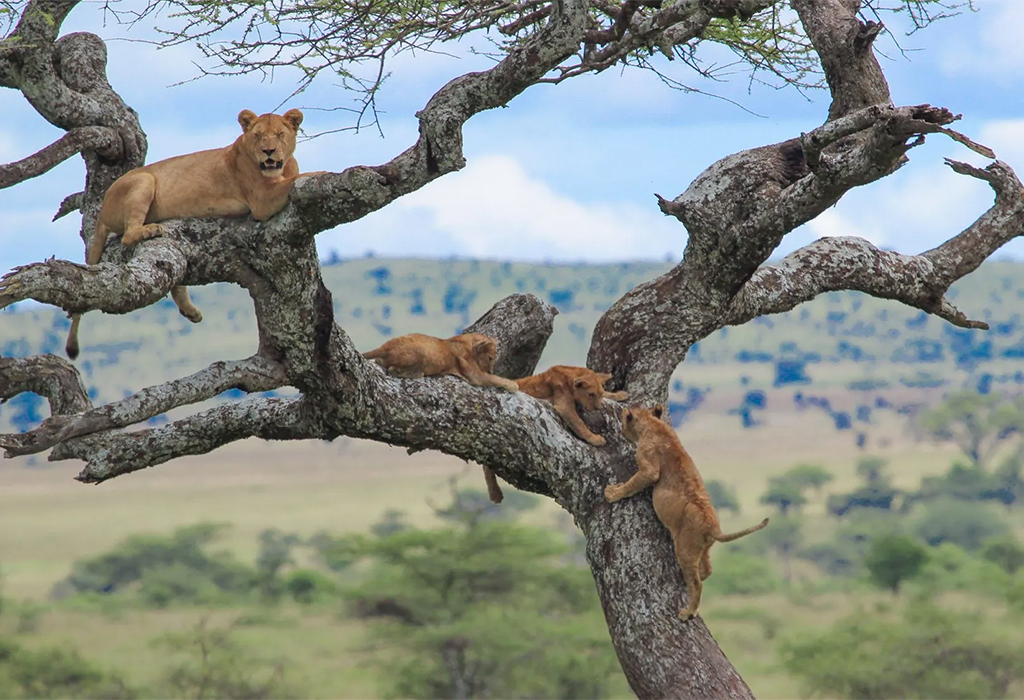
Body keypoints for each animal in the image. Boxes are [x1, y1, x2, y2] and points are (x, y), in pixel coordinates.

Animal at [66, 108, 319, 359]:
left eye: (279, 134)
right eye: (258, 136)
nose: (268, 151)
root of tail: (103, 208)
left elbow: (295, 177)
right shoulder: (261, 200)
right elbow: (296, 179)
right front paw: (322, 172)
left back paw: (191, 311)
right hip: (144, 180)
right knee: (129, 235)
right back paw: (150, 230)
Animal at [483, 366, 628, 504]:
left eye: (599, 394)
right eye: (591, 394)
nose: (598, 408)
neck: (569, 376)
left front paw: (620, 394)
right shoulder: (564, 406)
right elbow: (579, 423)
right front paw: (596, 439)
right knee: (486, 464)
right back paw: (495, 493)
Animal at [604, 405, 769, 621]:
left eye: (624, 419)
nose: (622, 431)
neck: (652, 424)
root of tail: (714, 528)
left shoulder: (649, 468)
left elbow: (633, 483)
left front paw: (612, 493)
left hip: (685, 548)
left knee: (697, 582)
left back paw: (688, 612)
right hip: (703, 547)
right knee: (707, 570)